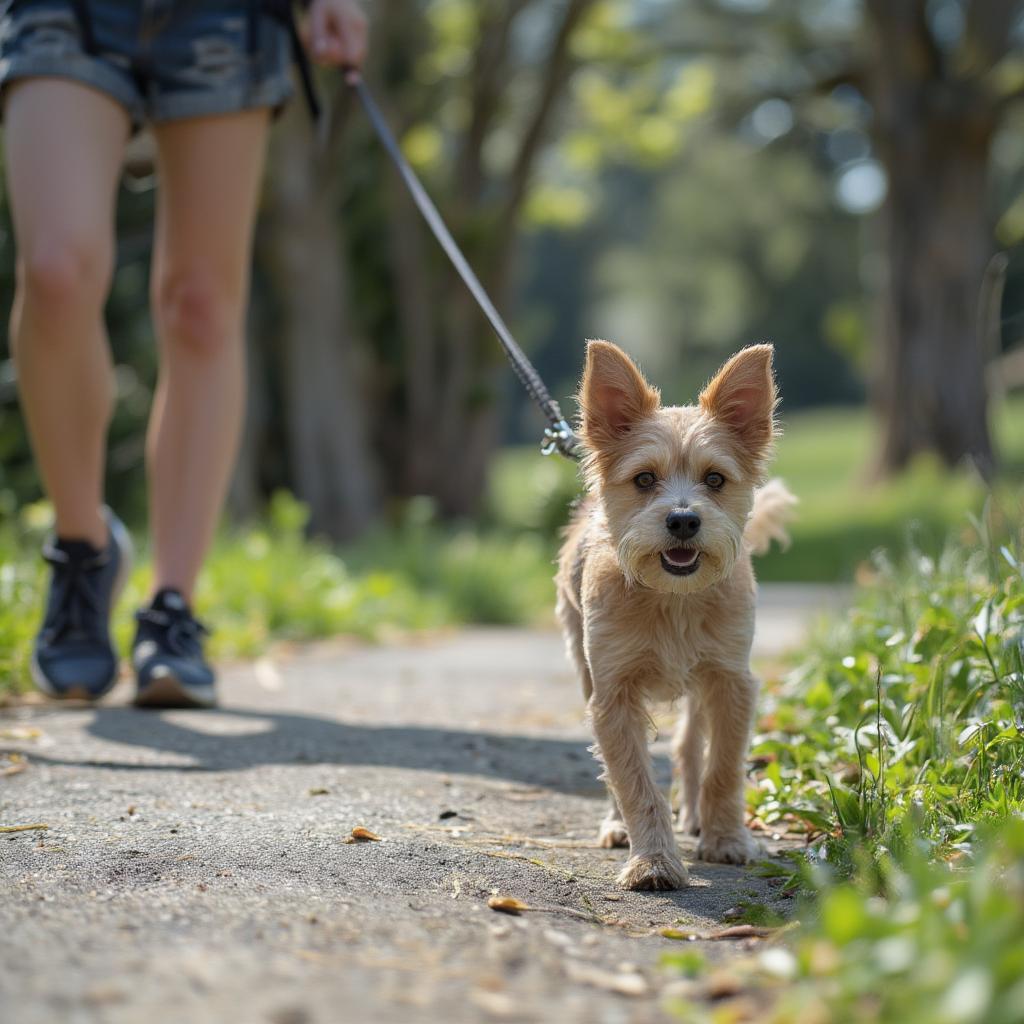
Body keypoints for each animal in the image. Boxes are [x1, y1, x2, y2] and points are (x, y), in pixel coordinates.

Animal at [557, 337, 794, 888]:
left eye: (715, 479)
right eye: (644, 479)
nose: (683, 520)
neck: (673, 598)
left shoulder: (731, 681)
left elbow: (723, 766)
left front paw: (726, 839)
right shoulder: (613, 696)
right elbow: (633, 780)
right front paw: (654, 860)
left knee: (690, 745)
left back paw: (696, 814)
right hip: (585, 667)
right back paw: (617, 825)